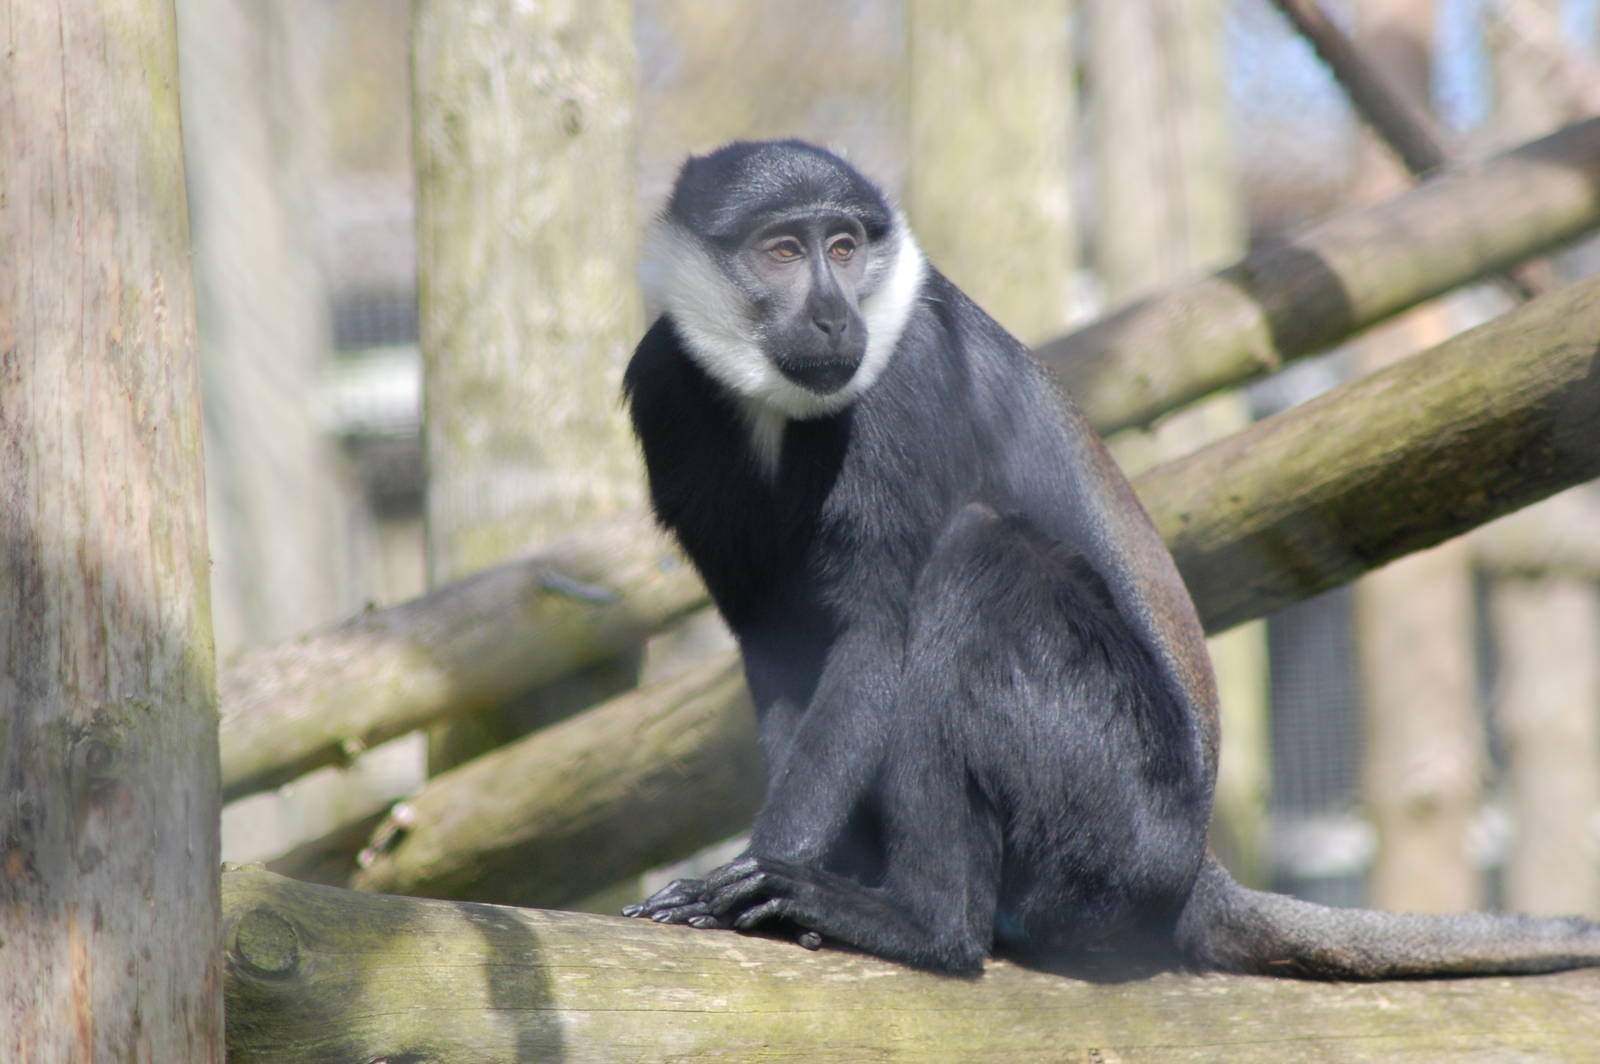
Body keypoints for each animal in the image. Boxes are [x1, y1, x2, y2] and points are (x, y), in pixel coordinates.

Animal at [620, 138, 1600, 978]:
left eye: (846, 246)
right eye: (784, 251)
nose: (834, 315)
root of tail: (1195, 868)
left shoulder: (907, 380)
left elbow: (877, 629)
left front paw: (757, 874)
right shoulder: (666, 387)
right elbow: (778, 645)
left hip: (1118, 818)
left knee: (974, 557)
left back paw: (923, 924)